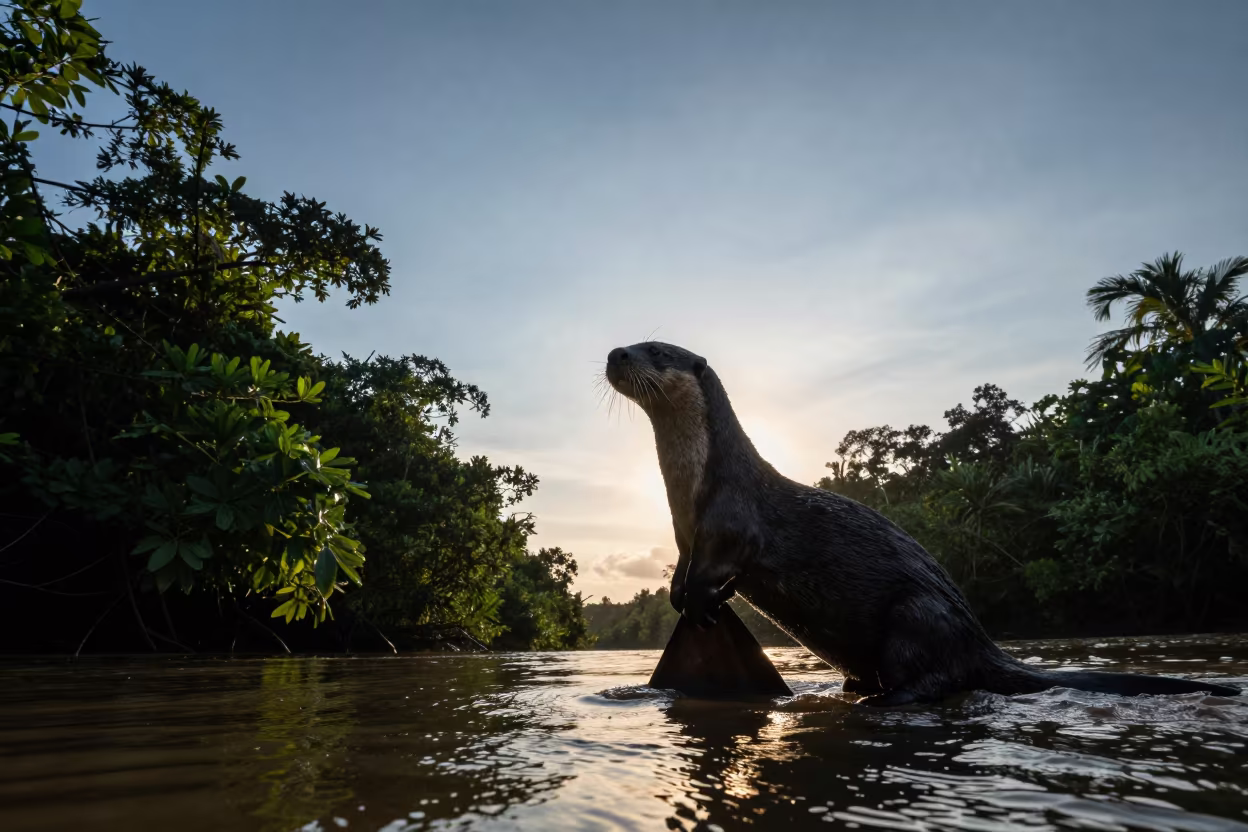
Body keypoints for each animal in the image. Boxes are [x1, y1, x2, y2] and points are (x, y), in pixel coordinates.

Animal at [605, 341, 1241, 705]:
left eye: (655, 348)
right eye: (631, 342)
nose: (616, 353)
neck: (693, 485)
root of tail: (980, 641)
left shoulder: (732, 522)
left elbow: (723, 568)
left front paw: (700, 604)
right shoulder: (685, 535)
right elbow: (682, 569)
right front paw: (679, 594)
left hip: (919, 613)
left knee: (931, 678)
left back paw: (884, 702)